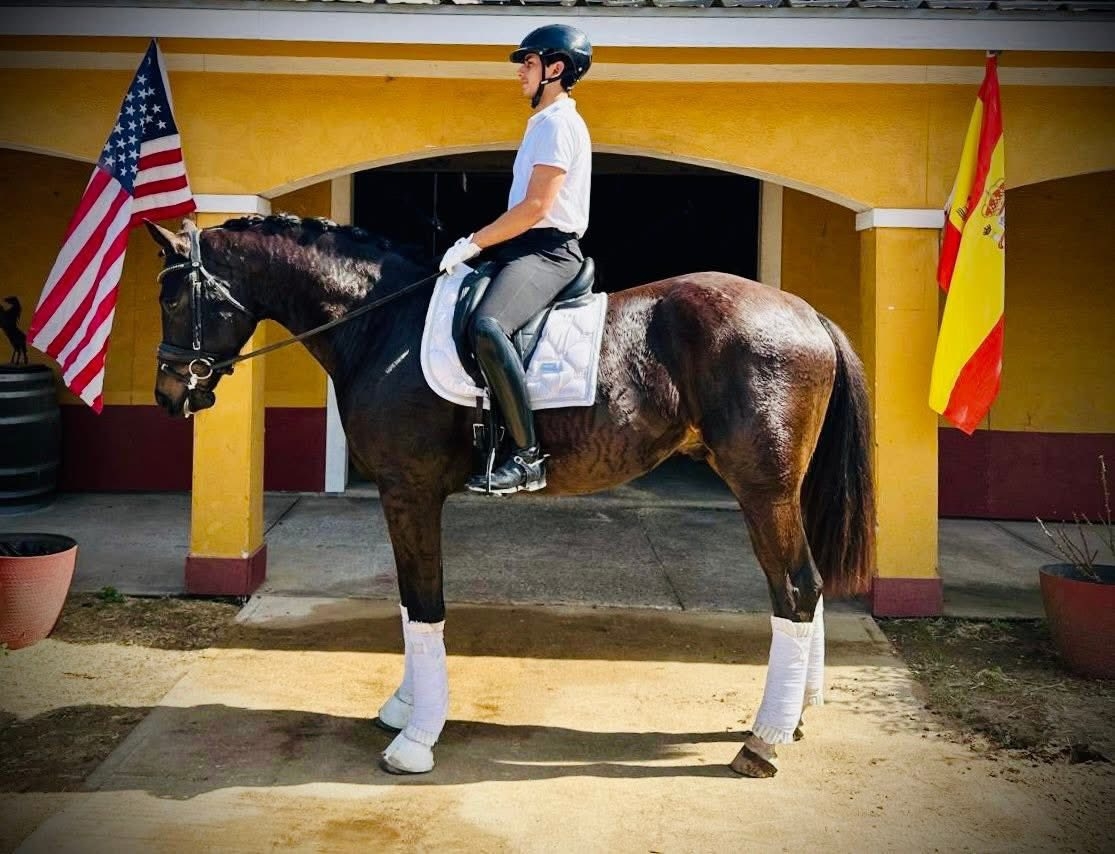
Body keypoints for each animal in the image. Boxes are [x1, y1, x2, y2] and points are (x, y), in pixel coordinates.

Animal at [145, 214, 874, 778]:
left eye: (175, 299)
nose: (169, 396)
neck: (384, 326)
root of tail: (805, 312)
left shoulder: (408, 491)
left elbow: (424, 604)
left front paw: (415, 740)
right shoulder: (403, 495)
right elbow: (409, 605)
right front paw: (403, 709)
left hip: (761, 488)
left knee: (795, 589)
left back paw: (762, 743)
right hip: (783, 489)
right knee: (805, 589)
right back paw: (793, 720)